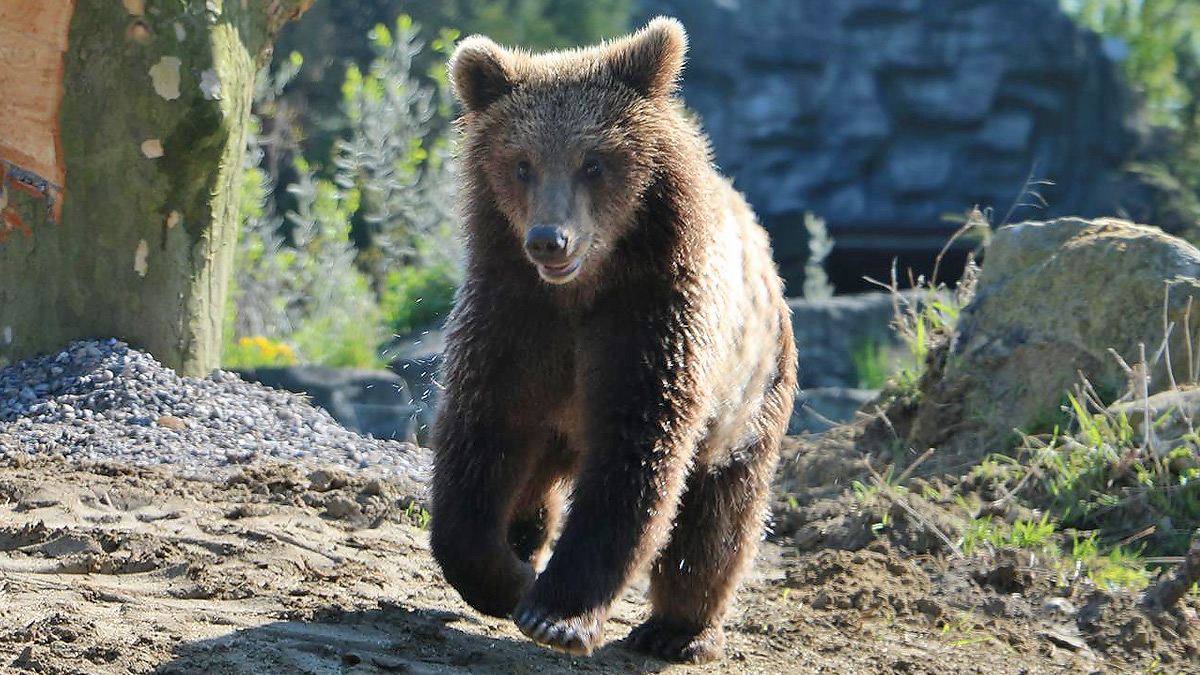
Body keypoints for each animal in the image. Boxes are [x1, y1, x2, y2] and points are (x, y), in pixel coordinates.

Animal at [432, 15, 796, 662]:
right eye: (521, 163)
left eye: (594, 162)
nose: (549, 239)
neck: (582, 292)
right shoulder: (515, 319)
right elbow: (480, 434)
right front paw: (505, 576)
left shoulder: (651, 323)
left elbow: (636, 457)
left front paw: (555, 613)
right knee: (533, 480)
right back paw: (524, 540)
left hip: (751, 400)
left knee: (717, 522)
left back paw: (678, 630)